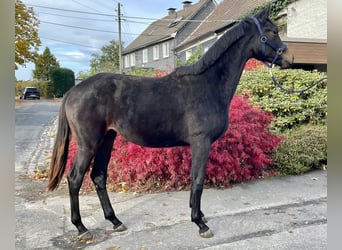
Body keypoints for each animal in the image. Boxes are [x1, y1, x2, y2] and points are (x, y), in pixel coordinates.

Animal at [48, 6, 294, 239]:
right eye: (273, 31)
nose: (289, 59)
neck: (209, 83)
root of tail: (72, 92)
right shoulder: (201, 141)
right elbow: (197, 180)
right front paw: (200, 223)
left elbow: (195, 180)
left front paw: (199, 215)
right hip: (88, 144)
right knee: (75, 179)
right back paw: (81, 227)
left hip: (107, 139)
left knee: (98, 176)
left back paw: (115, 221)